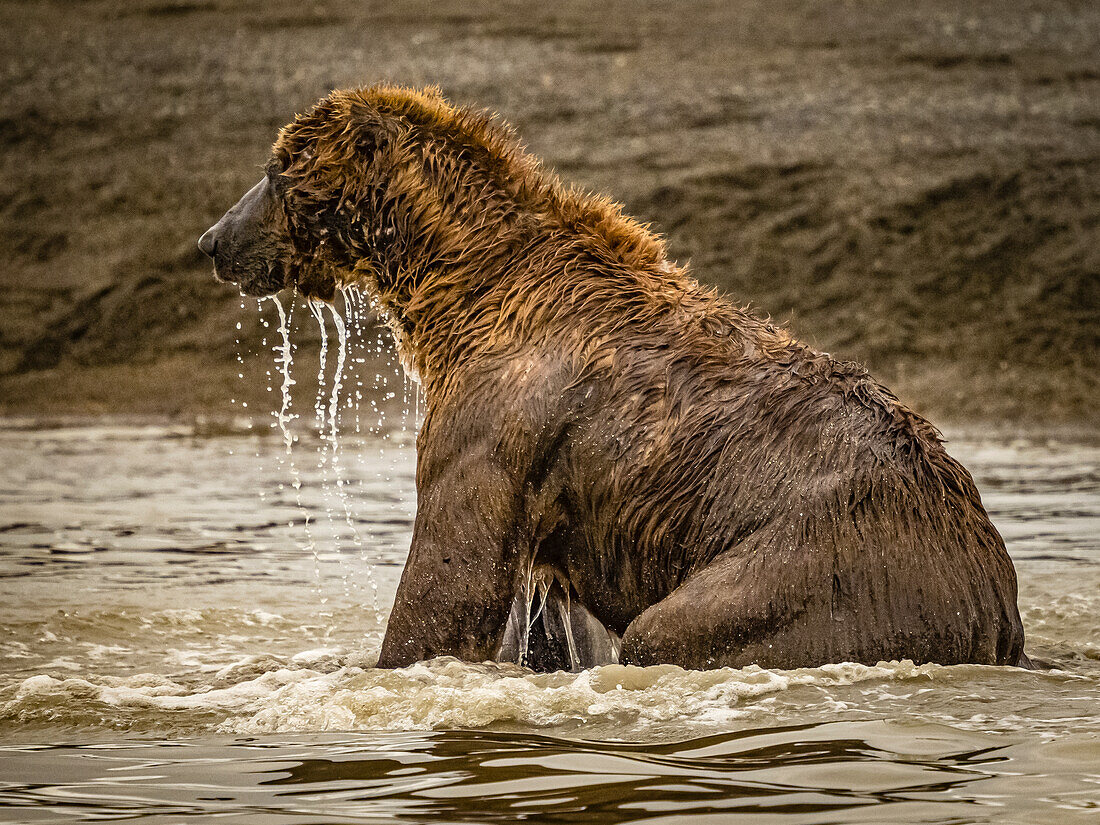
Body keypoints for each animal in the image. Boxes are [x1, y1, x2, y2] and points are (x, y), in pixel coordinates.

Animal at [200, 85, 1029, 673]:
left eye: (276, 169)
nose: (212, 239)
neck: (460, 291)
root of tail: (994, 588)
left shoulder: (499, 420)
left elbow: (449, 577)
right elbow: (530, 620)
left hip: (826, 564)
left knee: (674, 630)